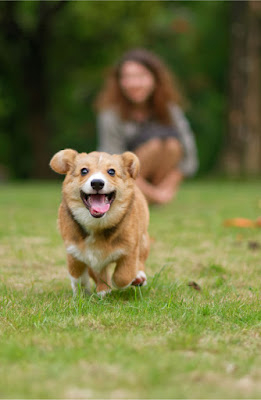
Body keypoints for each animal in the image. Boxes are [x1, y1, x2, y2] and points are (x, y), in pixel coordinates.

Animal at [49, 148, 149, 296]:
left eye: (111, 171)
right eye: (84, 171)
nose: (97, 183)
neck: (96, 224)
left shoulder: (130, 249)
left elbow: (123, 276)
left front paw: (126, 280)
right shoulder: (74, 252)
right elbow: (78, 276)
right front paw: (84, 293)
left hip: (143, 240)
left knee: (140, 259)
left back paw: (139, 277)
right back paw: (103, 290)